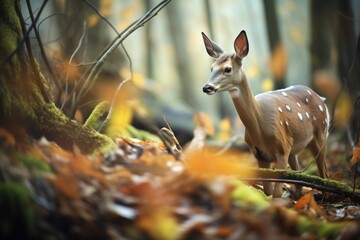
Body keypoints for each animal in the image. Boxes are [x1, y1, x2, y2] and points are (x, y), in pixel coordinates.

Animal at [201, 31, 330, 198]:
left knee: (324, 173)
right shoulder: (259, 154)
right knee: (300, 178)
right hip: (294, 147)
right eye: (211, 68)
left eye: (227, 69)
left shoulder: (282, 148)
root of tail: (322, 98)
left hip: (321, 134)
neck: (260, 129)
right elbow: (268, 191)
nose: (207, 87)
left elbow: (276, 192)